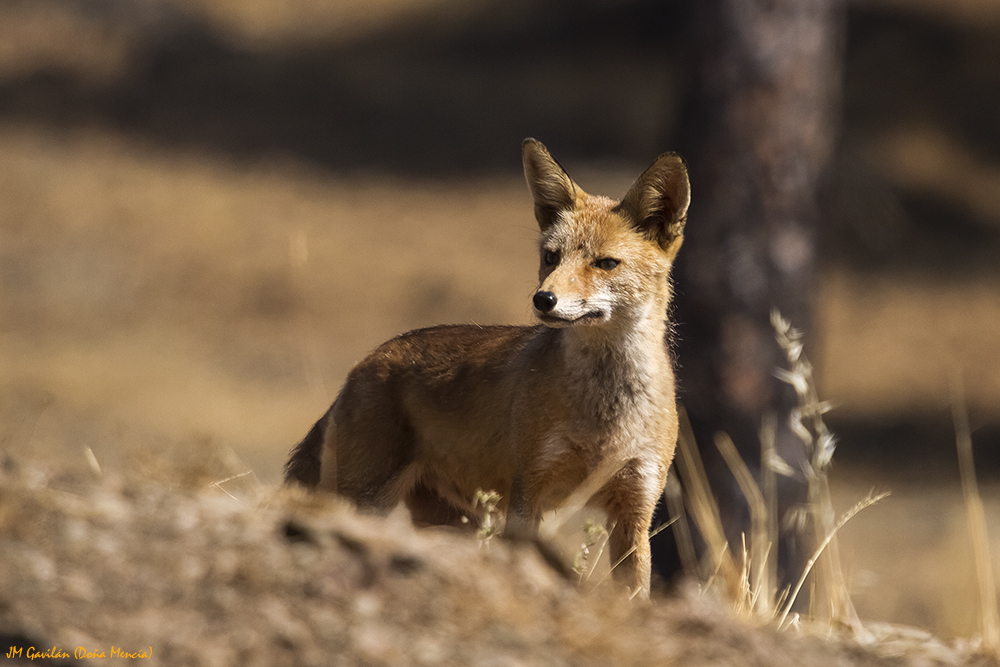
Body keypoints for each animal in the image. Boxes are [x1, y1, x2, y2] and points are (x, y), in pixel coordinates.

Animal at [284, 138, 690, 598]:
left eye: (605, 263)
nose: (543, 300)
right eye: (551, 257)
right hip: (366, 501)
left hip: (449, 523)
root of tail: (362, 364)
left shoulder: (635, 508)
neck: (604, 419)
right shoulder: (528, 494)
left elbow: (636, 596)